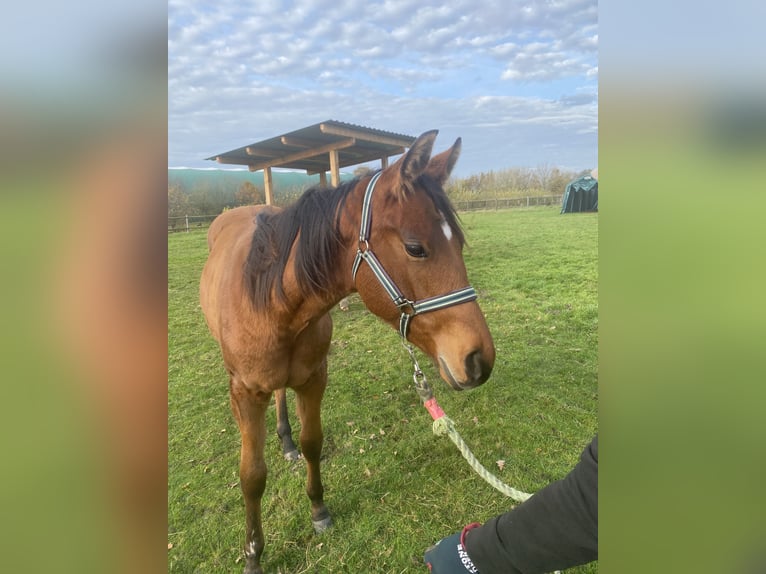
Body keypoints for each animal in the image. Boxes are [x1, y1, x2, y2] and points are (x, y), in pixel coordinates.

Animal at [199, 130, 495, 574]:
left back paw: (285, 441)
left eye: (459, 243)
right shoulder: (245, 394)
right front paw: (253, 554)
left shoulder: (313, 378)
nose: (479, 359)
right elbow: (251, 475)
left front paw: (318, 510)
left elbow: (312, 443)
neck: (272, 301)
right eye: (415, 247)